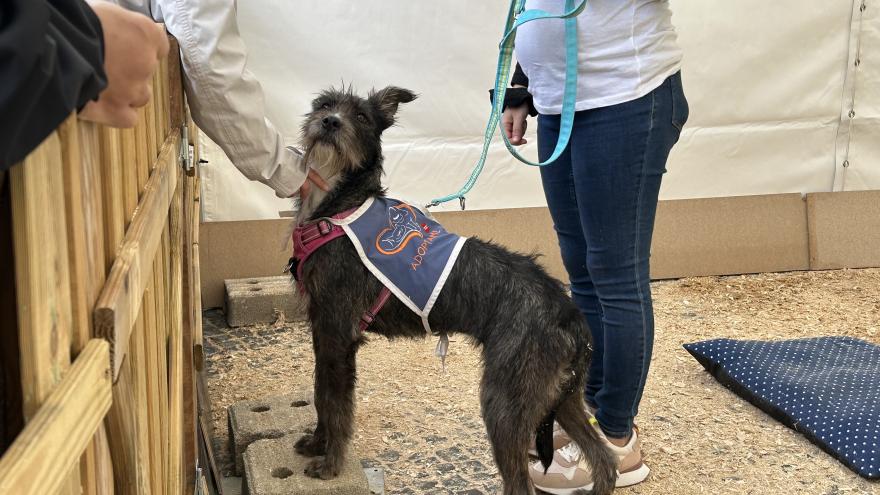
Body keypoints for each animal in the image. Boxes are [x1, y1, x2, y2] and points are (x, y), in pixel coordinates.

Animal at [292, 86, 616, 495]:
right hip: (560, 397)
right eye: (323, 104)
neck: (339, 206)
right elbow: (320, 393)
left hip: (505, 402)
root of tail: (570, 314)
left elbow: (334, 403)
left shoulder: (337, 333)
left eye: (362, 117)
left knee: (522, 483)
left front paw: (330, 464)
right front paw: (317, 444)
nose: (330, 122)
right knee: (604, 460)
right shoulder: (321, 330)